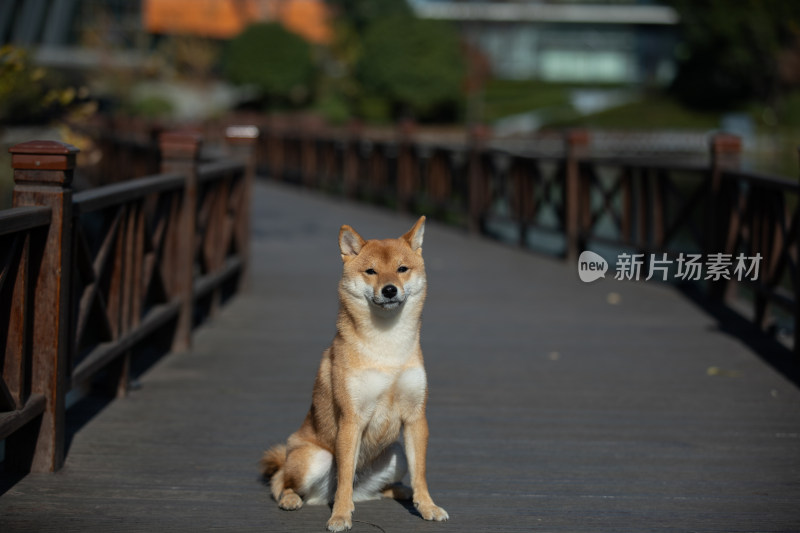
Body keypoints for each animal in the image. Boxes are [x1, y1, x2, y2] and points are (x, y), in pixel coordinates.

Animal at [264, 215, 446, 528]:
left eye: (402, 269)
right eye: (371, 271)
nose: (389, 289)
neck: (387, 347)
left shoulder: (415, 417)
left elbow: (420, 473)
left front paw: (427, 506)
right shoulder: (351, 419)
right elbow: (345, 476)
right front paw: (339, 515)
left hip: (396, 453)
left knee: (374, 490)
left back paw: (400, 491)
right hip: (314, 459)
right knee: (282, 483)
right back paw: (292, 499)